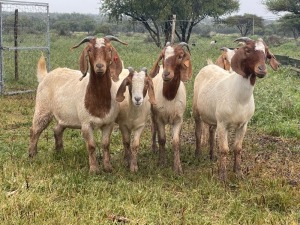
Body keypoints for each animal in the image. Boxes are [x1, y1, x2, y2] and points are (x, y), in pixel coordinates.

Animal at [29, 35, 128, 173]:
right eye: (89, 50)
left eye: (109, 49)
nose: (99, 66)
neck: (99, 100)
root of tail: (45, 76)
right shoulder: (86, 123)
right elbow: (91, 146)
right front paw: (94, 169)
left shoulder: (109, 123)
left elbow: (105, 144)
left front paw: (108, 167)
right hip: (43, 108)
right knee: (35, 129)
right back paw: (32, 154)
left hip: (65, 115)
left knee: (57, 129)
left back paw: (60, 152)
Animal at [149, 41, 192, 173]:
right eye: (163, 56)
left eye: (180, 56)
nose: (166, 74)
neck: (169, 96)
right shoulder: (159, 118)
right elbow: (162, 139)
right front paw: (161, 162)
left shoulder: (179, 119)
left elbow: (176, 142)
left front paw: (178, 167)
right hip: (152, 114)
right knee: (153, 129)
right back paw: (154, 148)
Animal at [193, 37, 280, 181]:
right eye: (248, 50)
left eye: (266, 53)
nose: (262, 69)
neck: (239, 98)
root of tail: (209, 65)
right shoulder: (223, 124)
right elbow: (224, 149)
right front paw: (222, 176)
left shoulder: (243, 125)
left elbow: (238, 148)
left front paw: (238, 172)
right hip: (196, 111)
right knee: (198, 132)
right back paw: (198, 154)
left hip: (214, 118)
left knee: (211, 132)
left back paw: (212, 156)